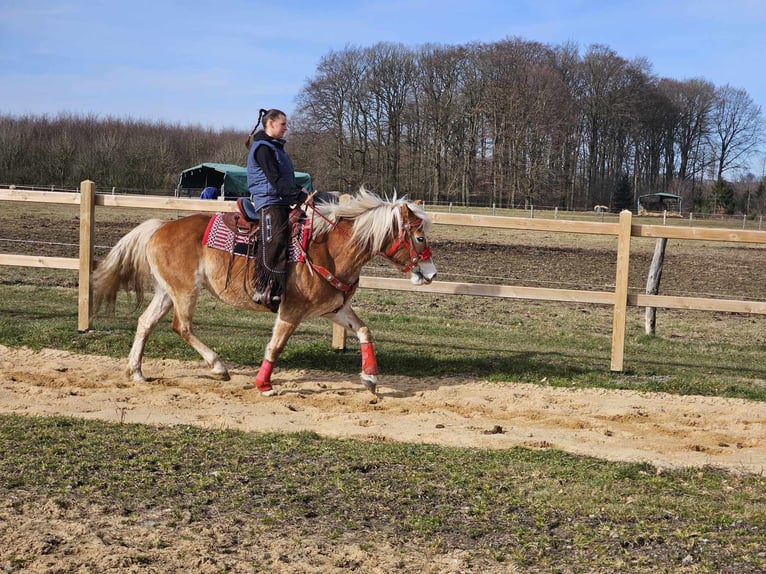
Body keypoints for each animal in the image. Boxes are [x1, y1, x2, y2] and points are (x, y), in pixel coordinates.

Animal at [91, 189, 438, 396]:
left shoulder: (333, 309)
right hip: (185, 291)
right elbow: (276, 346)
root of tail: (160, 226)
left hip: (166, 292)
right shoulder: (291, 311)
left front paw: (370, 378)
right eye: (419, 238)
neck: (329, 250)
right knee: (182, 326)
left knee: (145, 323)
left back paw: (136, 371)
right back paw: (218, 366)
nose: (432, 274)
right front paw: (264, 383)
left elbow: (365, 330)